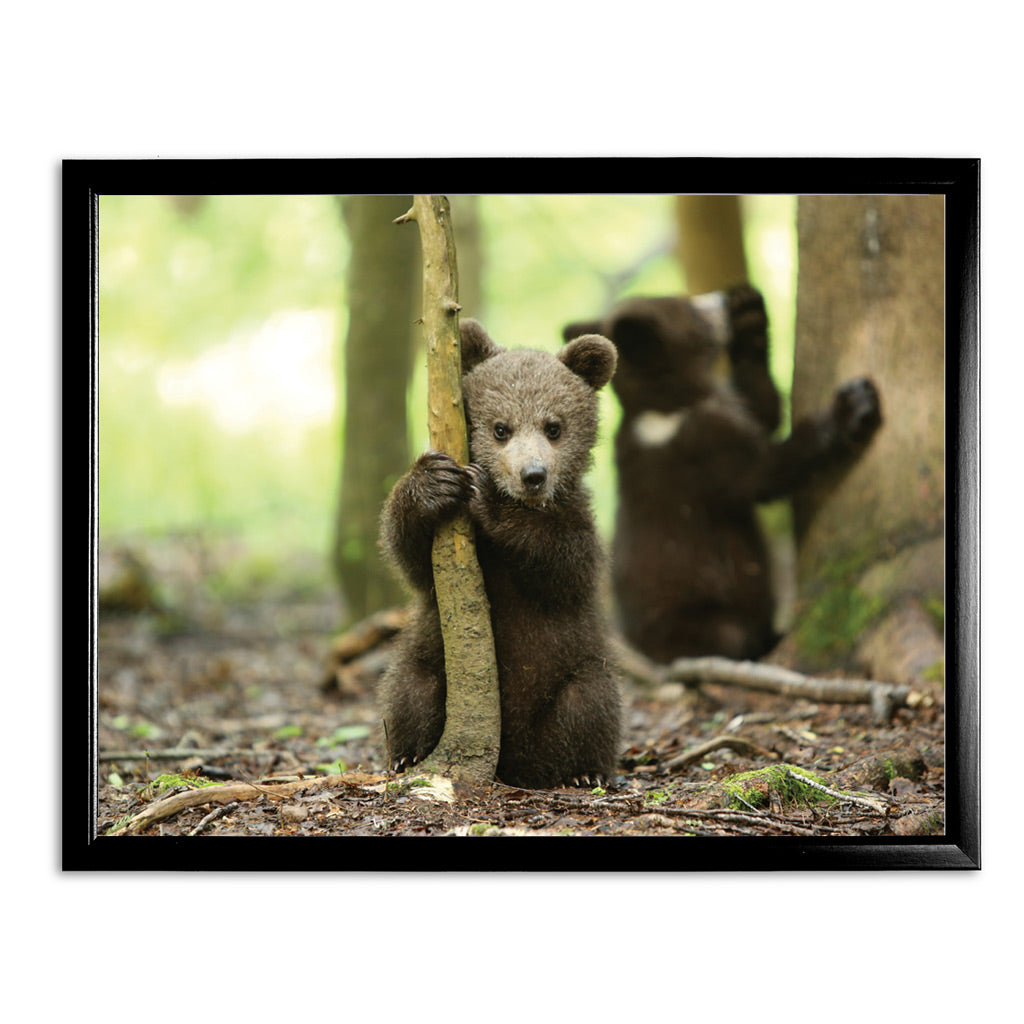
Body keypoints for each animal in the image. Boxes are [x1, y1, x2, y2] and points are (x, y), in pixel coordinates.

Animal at [377, 318, 622, 789]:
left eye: (554, 426)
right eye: (500, 428)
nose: (533, 475)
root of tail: (514, 762)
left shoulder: (578, 526)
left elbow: (564, 565)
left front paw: (488, 498)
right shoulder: (439, 566)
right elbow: (411, 558)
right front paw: (432, 482)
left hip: (576, 669)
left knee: (590, 703)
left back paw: (583, 772)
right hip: (429, 658)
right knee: (409, 689)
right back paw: (407, 756)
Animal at [564, 284, 882, 664]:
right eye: (690, 308)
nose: (720, 298)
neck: (668, 407)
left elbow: (762, 410)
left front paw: (749, 311)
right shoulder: (702, 447)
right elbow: (762, 475)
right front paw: (853, 405)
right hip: (701, 617)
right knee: (730, 638)